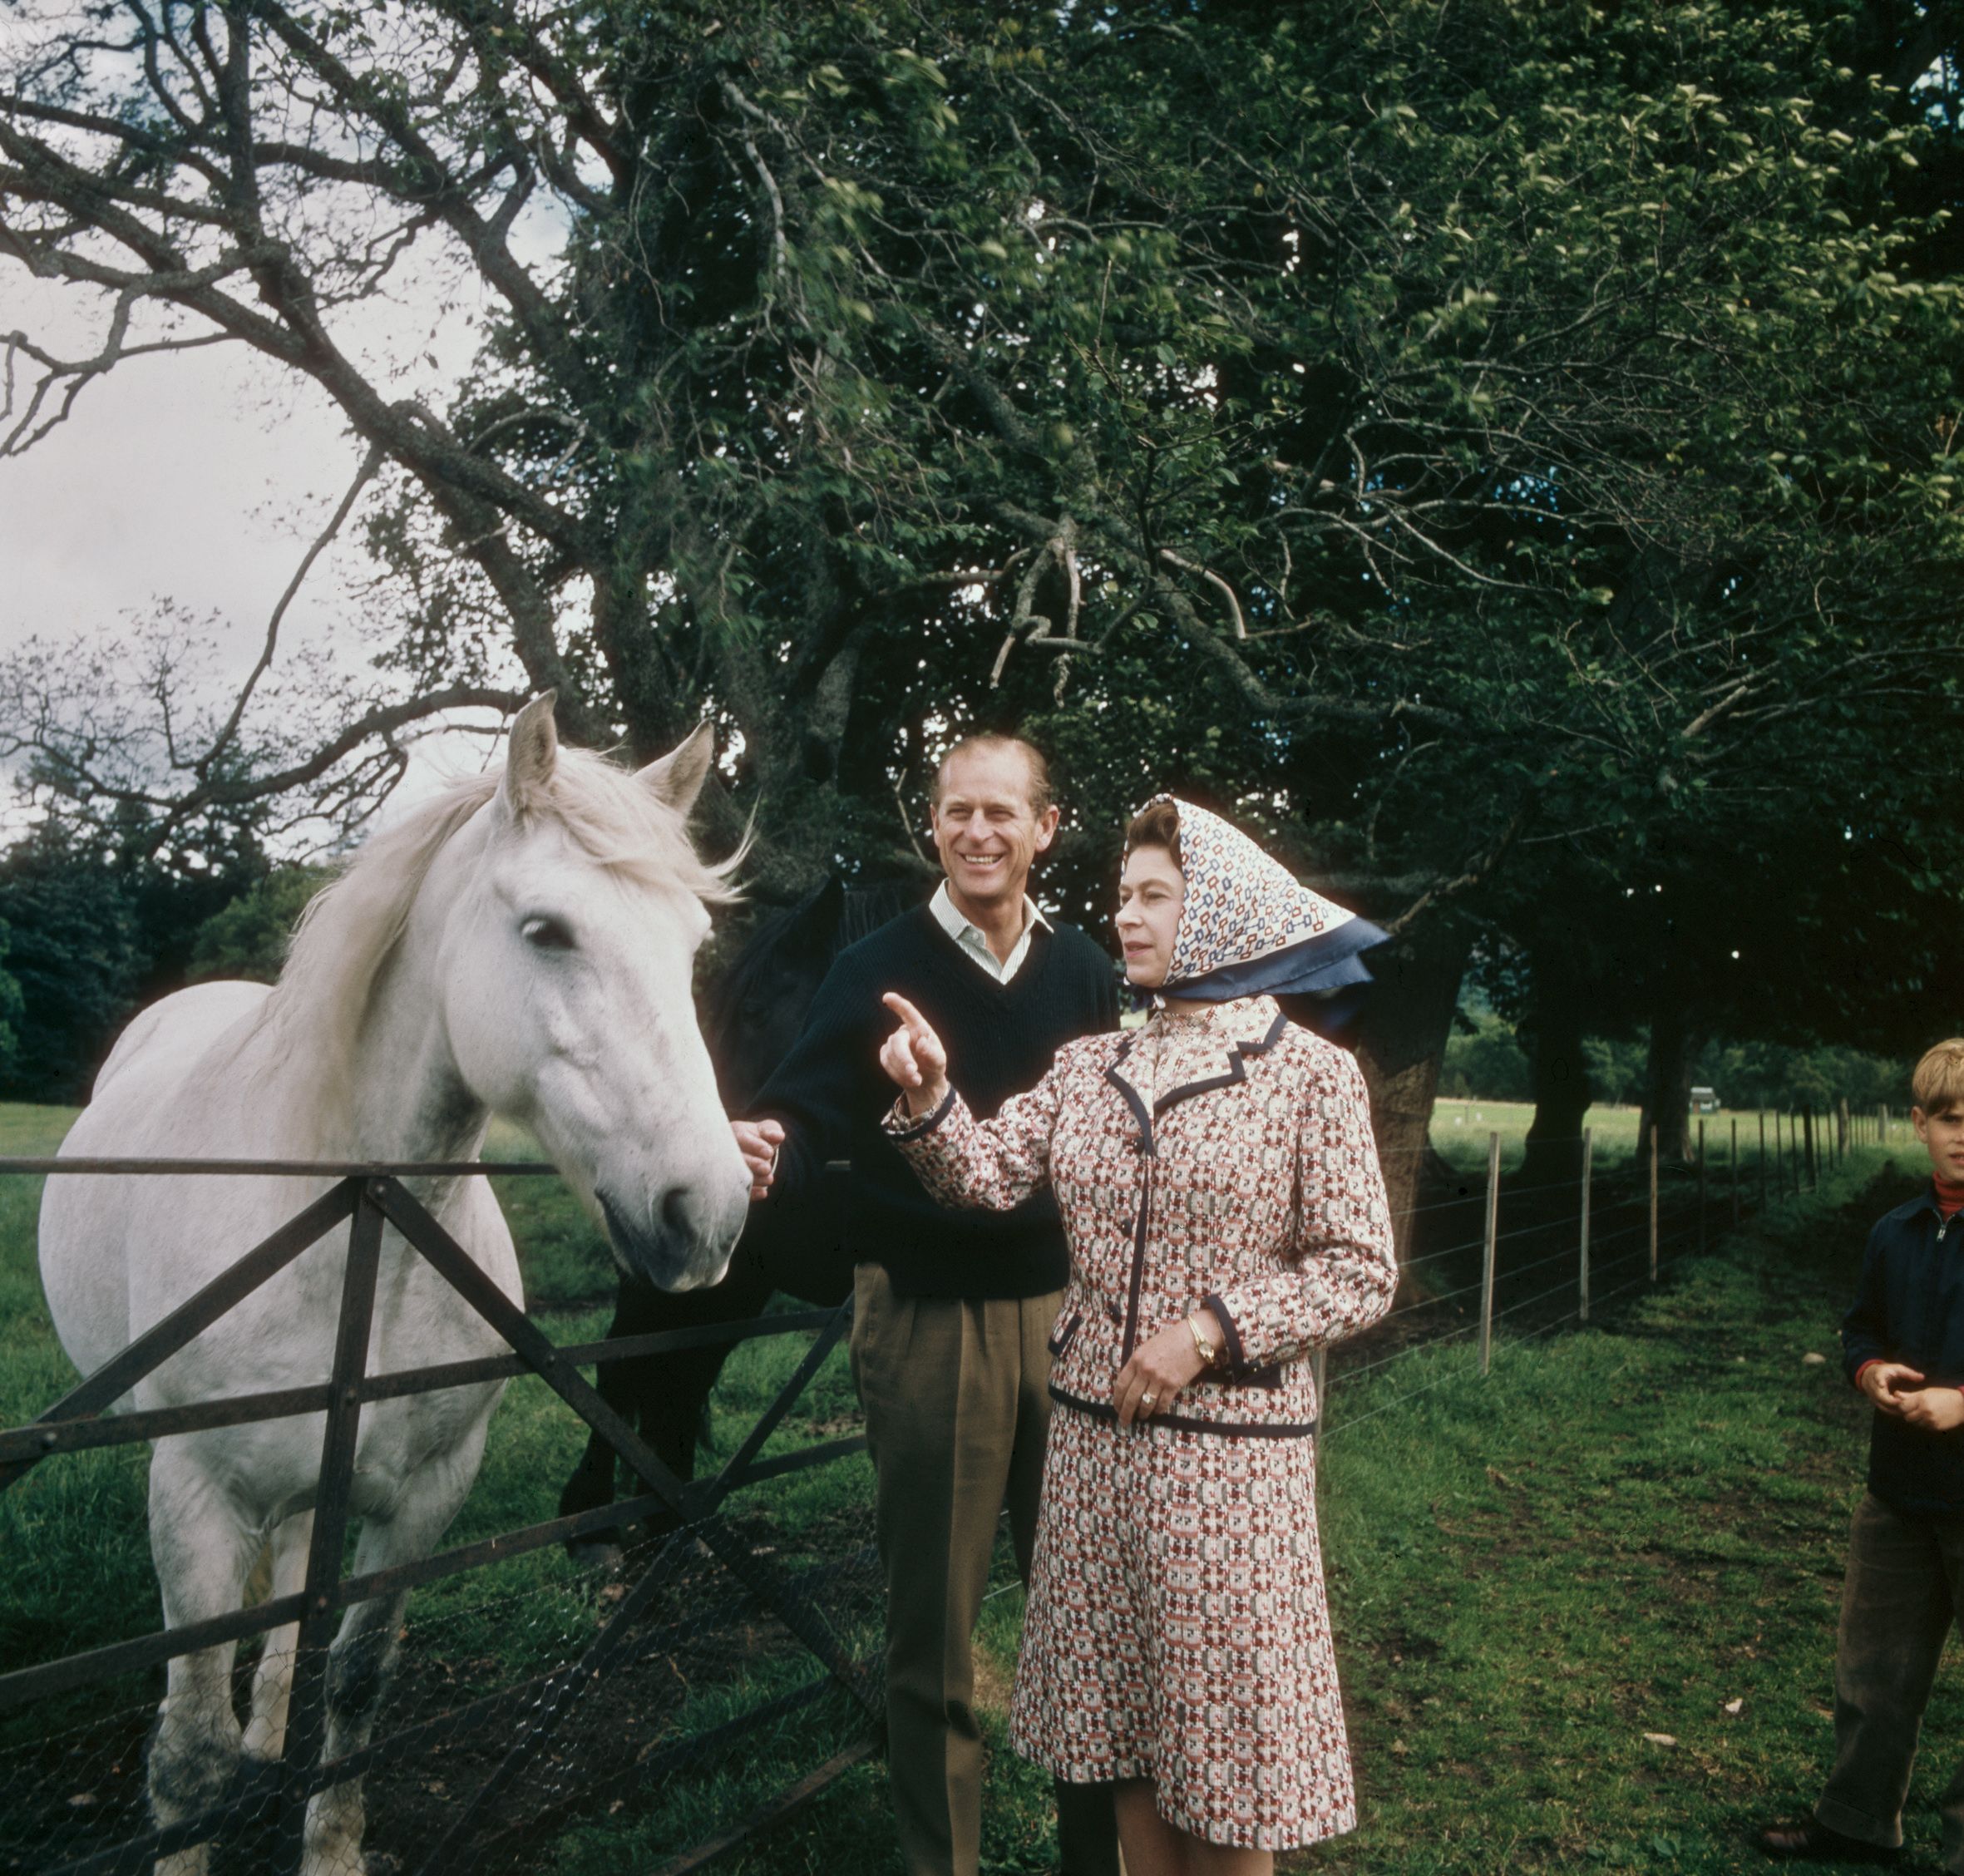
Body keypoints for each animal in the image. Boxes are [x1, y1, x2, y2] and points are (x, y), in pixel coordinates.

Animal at [36, 699, 750, 1876]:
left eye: (692, 945)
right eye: (547, 931)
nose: (712, 1213)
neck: (360, 1231)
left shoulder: (425, 1497)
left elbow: (360, 1688)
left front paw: (328, 1844)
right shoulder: (195, 1497)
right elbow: (187, 1749)